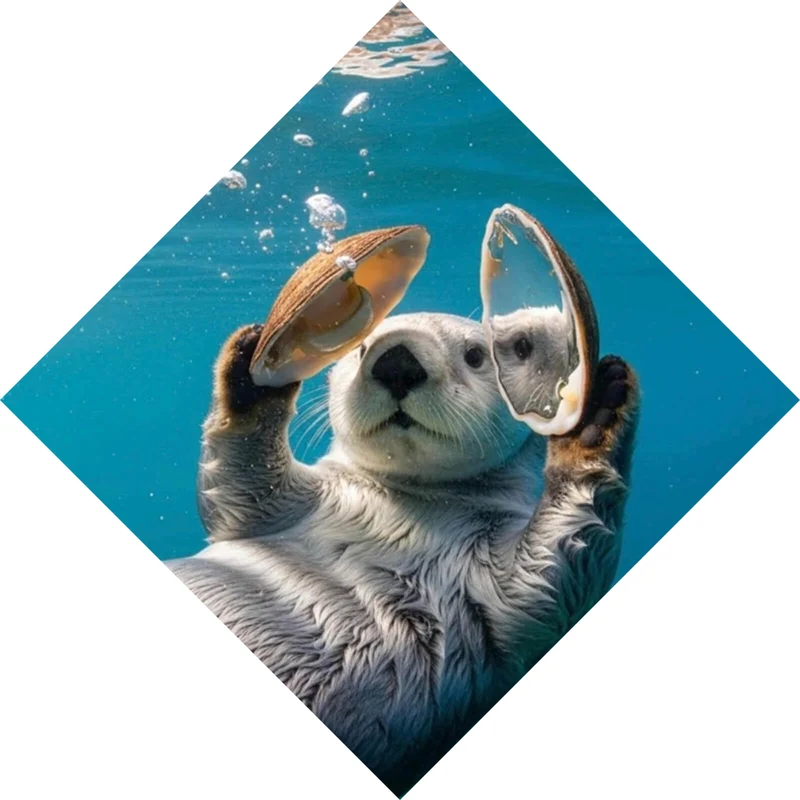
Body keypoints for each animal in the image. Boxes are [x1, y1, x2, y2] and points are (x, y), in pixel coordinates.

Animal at [167, 310, 639, 795]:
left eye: (476, 354)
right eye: (360, 347)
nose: (396, 363)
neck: (405, 505)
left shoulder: (503, 585)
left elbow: (554, 572)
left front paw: (597, 412)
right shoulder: (288, 506)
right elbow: (237, 492)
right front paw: (251, 369)